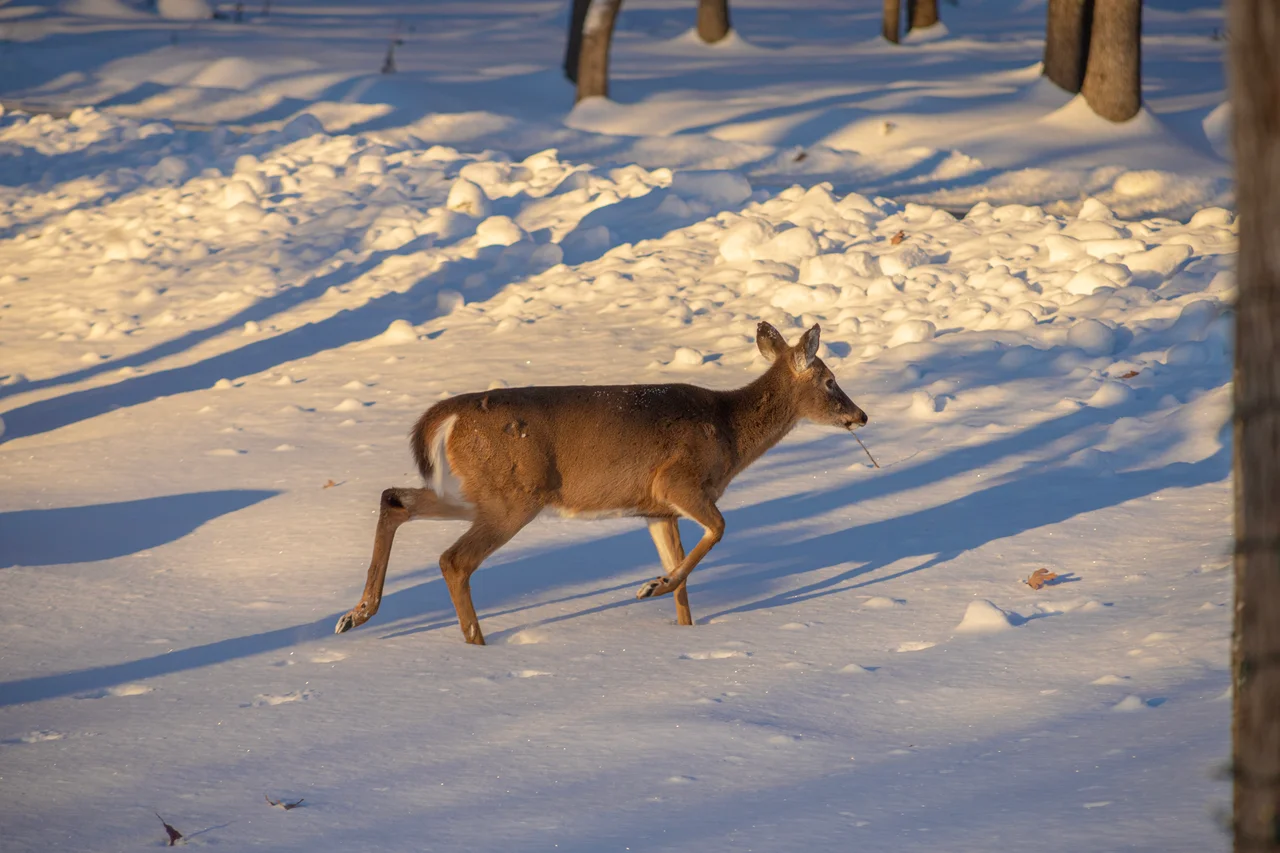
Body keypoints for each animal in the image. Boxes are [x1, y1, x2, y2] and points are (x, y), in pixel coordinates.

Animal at [334, 321, 869, 645]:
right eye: (829, 380)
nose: (860, 415)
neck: (728, 431)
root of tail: (446, 416)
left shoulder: (656, 510)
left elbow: (684, 580)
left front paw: (678, 621)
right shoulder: (677, 481)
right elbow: (718, 529)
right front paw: (650, 587)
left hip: (472, 492)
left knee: (395, 499)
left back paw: (355, 614)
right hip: (513, 496)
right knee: (453, 559)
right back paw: (476, 644)